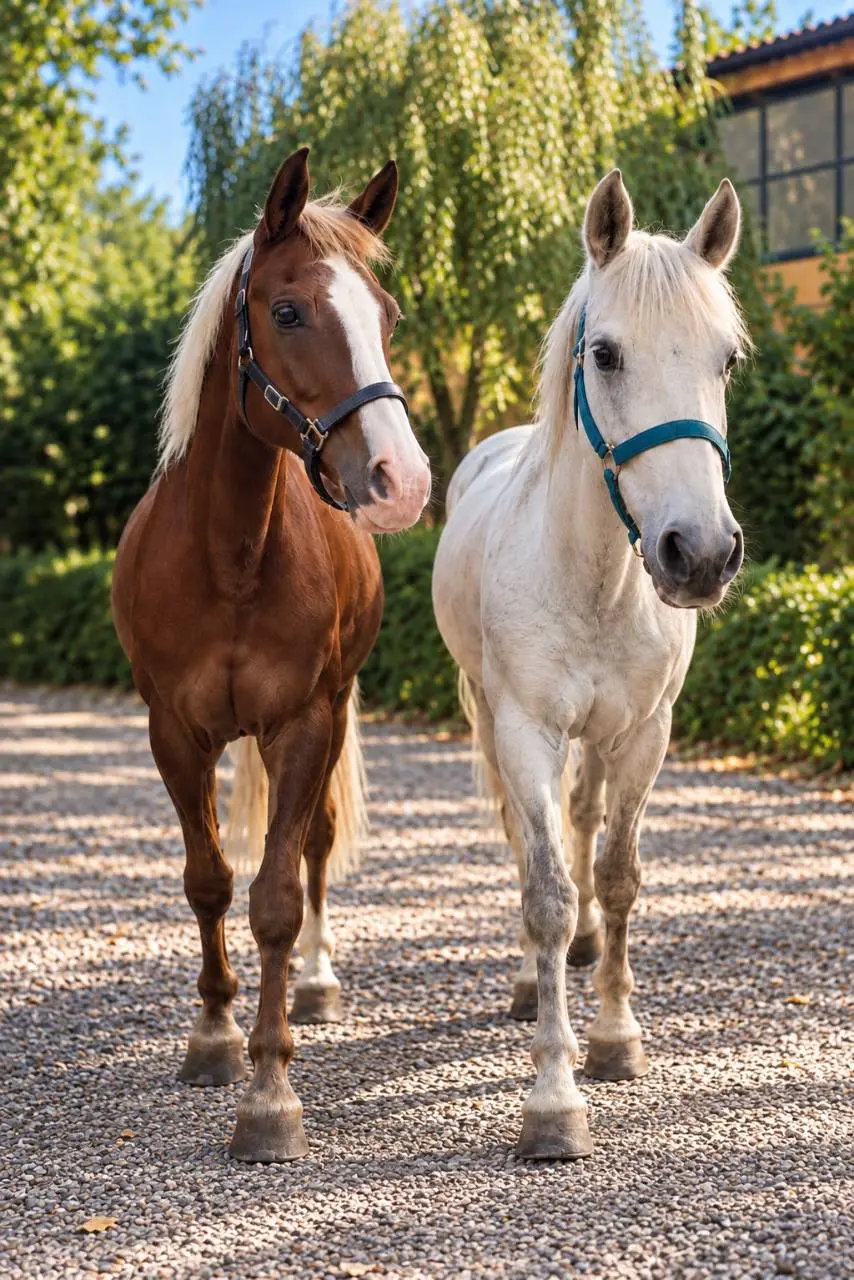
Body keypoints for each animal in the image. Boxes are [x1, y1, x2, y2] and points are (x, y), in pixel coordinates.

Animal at [112, 147, 431, 1163]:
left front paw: (269, 1093)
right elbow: (209, 882)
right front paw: (214, 1040)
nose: (402, 481)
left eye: (388, 315)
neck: (229, 551)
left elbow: (278, 899)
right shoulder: (172, 733)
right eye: (288, 312)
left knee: (318, 844)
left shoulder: (305, 724)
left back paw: (318, 983)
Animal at [432, 170, 747, 1160]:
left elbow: (615, 877)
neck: (597, 580)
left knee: (582, 820)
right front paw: (552, 1096)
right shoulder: (526, 731)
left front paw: (613, 1039)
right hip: (490, 719)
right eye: (604, 354)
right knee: (524, 841)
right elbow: (547, 892)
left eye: (727, 360)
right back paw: (532, 982)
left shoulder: (645, 734)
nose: (700, 553)